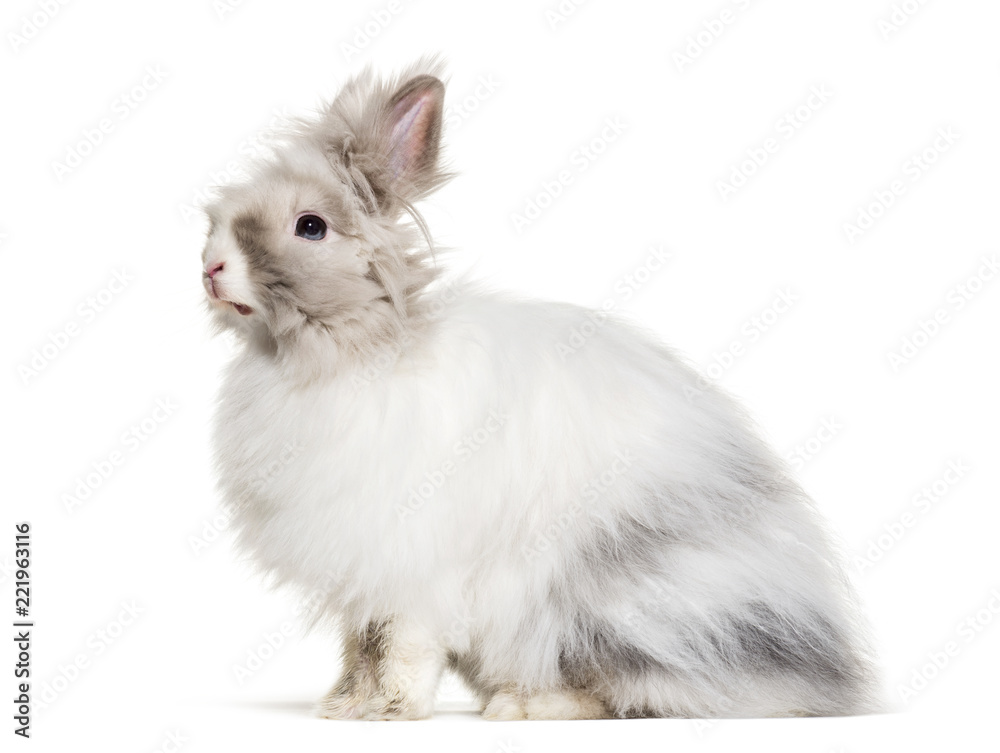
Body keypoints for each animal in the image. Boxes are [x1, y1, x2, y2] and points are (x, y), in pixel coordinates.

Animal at [202, 58, 879, 720]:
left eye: (311, 226)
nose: (210, 267)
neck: (349, 354)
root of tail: (815, 676)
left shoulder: (412, 564)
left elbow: (405, 644)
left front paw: (393, 710)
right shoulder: (357, 574)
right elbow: (361, 644)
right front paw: (344, 707)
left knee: (621, 694)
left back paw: (522, 706)